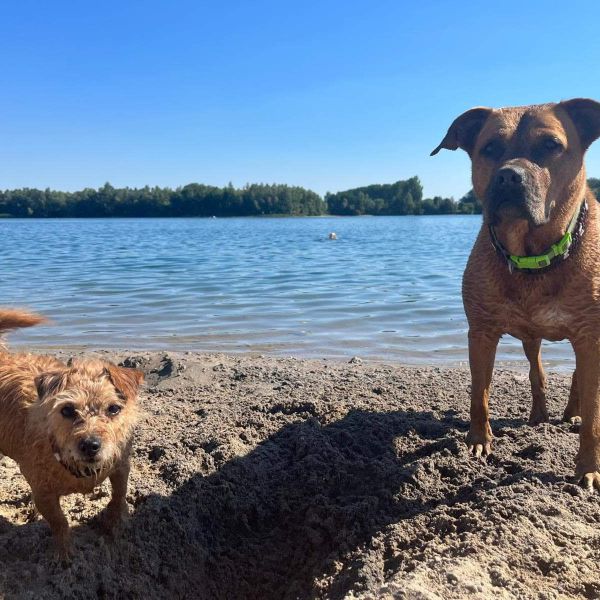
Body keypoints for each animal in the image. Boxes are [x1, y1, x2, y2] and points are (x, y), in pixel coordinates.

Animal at [434, 98, 600, 490]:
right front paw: (478, 442)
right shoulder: (480, 332)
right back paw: (540, 414)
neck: (532, 258)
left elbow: (593, 416)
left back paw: (571, 413)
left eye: (552, 145)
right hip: (529, 336)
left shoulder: (590, 336)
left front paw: (588, 468)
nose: (509, 176)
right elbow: (479, 393)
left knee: (576, 379)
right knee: (537, 371)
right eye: (489, 148)